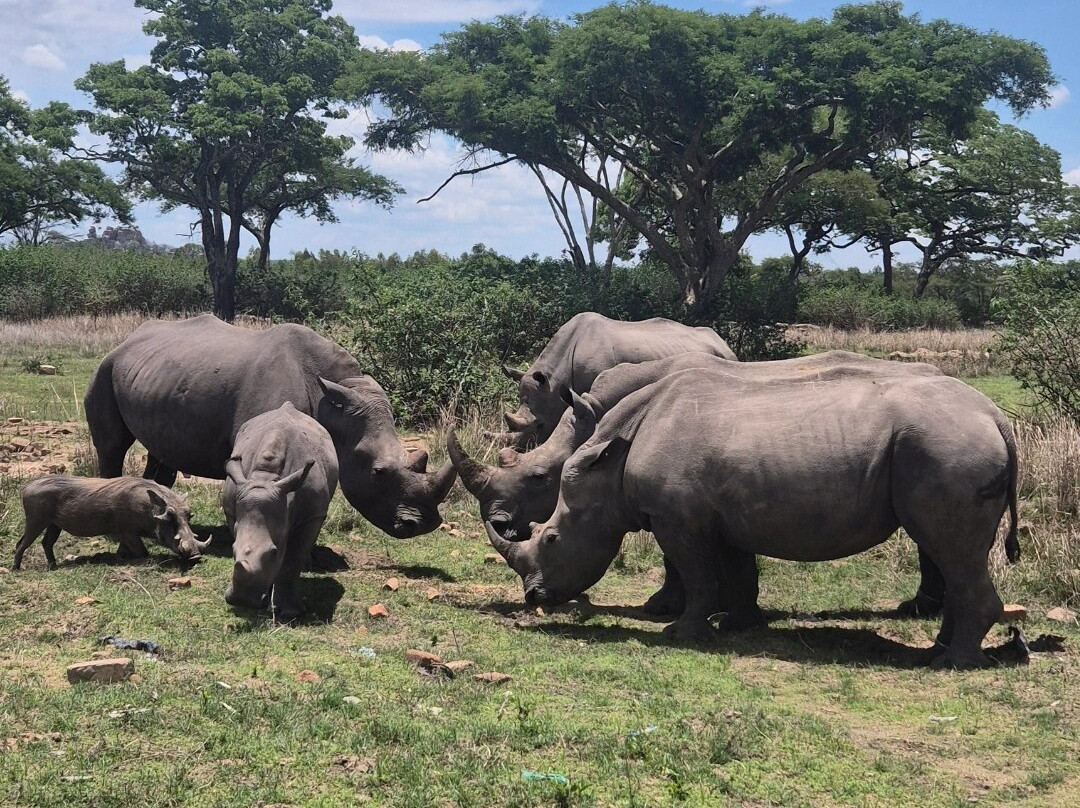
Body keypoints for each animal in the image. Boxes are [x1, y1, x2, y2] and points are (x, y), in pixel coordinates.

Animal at [13, 475, 204, 570]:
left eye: (189, 515)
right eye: (169, 516)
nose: (196, 556)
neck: (148, 509)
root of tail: (25, 487)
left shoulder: (125, 534)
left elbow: (124, 549)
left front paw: (120, 557)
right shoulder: (129, 531)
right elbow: (143, 552)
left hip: (54, 525)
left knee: (46, 543)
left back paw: (53, 566)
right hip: (36, 521)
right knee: (21, 544)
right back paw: (16, 568)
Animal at [84, 315, 455, 538]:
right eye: (378, 472)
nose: (422, 526)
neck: (334, 401)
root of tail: (127, 341)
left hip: (158, 379)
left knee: (162, 451)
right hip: (105, 368)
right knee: (112, 446)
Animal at [222, 402, 339, 621]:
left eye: (274, 552)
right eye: (231, 550)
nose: (242, 600)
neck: (266, 479)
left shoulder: (312, 515)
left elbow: (292, 559)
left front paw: (290, 612)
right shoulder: (232, 509)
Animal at [452, 350, 947, 616]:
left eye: (539, 478)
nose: (499, 521)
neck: (599, 413)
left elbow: (674, 553)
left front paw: (664, 606)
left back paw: (919, 609)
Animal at [487, 368, 1019, 669]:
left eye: (551, 539)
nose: (533, 598)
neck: (611, 465)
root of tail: (997, 417)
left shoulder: (678, 519)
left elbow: (699, 575)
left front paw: (682, 634)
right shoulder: (724, 514)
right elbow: (737, 571)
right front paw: (739, 626)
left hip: (947, 448)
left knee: (951, 548)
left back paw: (954, 664)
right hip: (948, 445)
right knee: (955, 554)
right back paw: (940, 651)